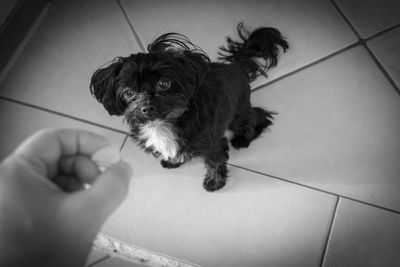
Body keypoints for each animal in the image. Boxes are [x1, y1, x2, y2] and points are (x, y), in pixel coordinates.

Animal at [89, 22, 288, 191]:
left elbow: (215, 162)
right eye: (128, 93)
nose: (146, 107)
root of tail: (235, 65)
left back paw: (242, 139)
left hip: (238, 111)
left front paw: (214, 182)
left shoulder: (213, 143)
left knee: (256, 117)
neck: (164, 124)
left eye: (164, 84)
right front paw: (173, 161)